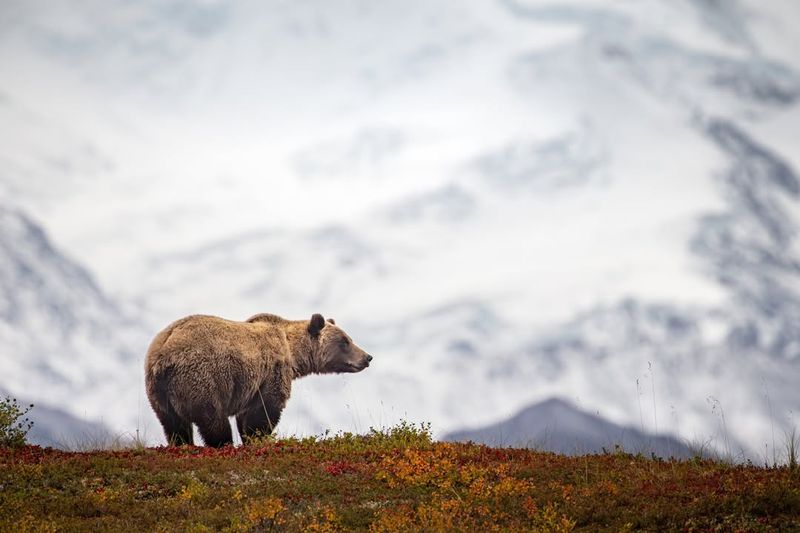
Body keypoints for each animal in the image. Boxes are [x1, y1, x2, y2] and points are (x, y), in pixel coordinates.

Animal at [145, 312, 376, 444]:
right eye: (345, 341)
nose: (367, 357)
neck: (292, 352)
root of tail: (161, 354)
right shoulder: (271, 373)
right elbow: (264, 413)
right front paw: (258, 439)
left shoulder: (249, 387)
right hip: (200, 380)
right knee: (213, 421)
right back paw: (224, 444)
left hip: (160, 394)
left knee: (175, 427)